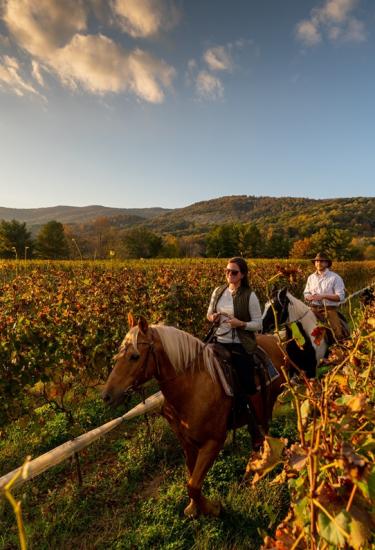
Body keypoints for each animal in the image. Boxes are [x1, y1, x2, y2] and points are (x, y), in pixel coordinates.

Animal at [103, 316, 288, 520]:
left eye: (134, 356)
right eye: (118, 355)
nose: (107, 396)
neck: (192, 387)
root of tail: (274, 339)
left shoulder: (213, 442)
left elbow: (192, 485)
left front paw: (213, 508)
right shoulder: (187, 442)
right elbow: (192, 477)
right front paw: (194, 507)